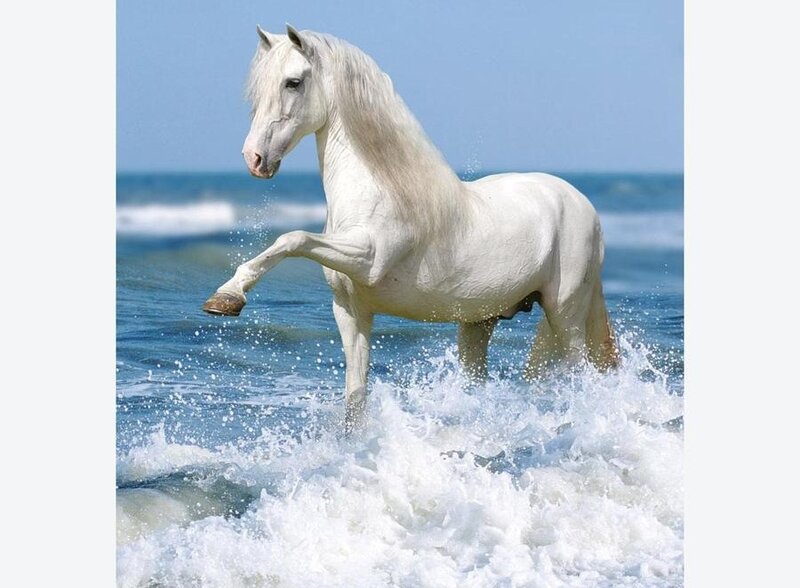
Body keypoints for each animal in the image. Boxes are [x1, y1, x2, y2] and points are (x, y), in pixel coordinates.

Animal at [203, 25, 619, 430]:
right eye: (258, 88)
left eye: (293, 82)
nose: (255, 158)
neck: (377, 186)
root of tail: (584, 206)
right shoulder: (351, 311)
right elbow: (356, 398)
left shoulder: (367, 258)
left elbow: (293, 238)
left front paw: (228, 297)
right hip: (479, 322)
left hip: (564, 315)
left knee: (579, 375)